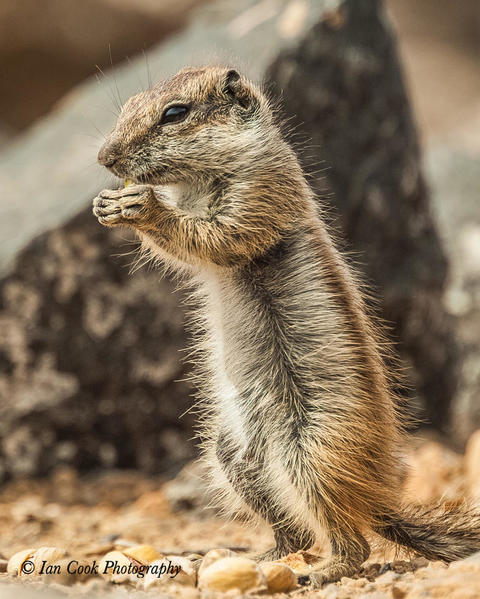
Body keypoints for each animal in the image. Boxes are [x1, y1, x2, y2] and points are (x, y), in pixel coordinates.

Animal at [94, 65, 480, 584]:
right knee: (291, 528)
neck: (197, 183)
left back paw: (323, 570)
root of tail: (377, 501)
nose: (105, 158)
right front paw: (106, 204)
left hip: (309, 453)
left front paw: (145, 207)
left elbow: (217, 238)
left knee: (353, 541)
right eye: (130, 104)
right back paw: (261, 558)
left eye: (175, 113)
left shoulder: (261, 192)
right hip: (232, 455)